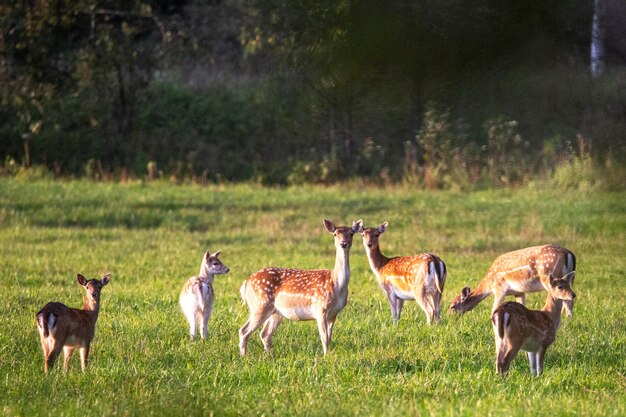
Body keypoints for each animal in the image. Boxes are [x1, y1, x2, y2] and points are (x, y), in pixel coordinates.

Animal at [238, 216, 360, 356]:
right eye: (335, 234)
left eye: (351, 234)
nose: (343, 244)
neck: (336, 284)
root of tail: (246, 283)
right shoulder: (320, 308)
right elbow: (324, 338)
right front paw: (325, 357)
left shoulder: (333, 314)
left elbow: (329, 338)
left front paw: (328, 355)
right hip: (260, 304)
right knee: (244, 331)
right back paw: (244, 357)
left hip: (276, 312)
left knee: (265, 334)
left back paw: (269, 356)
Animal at [448, 244, 576, 316]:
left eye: (453, 306)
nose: (448, 316)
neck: (489, 283)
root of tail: (569, 253)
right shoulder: (519, 291)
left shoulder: (500, 289)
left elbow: (493, 309)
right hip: (567, 278)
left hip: (550, 278)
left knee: (567, 300)